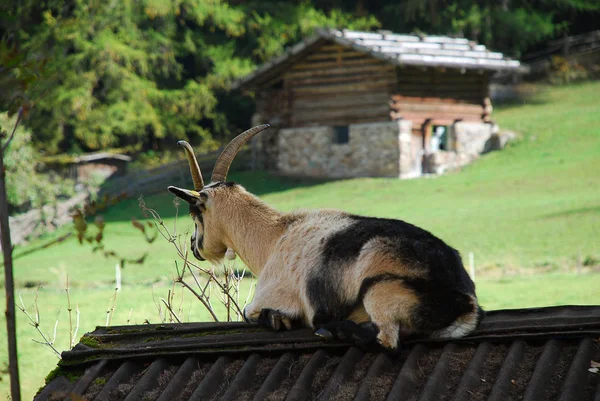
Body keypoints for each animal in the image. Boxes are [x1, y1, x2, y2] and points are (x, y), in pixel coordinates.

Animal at [169, 123, 482, 348]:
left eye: (195, 214)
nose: (195, 247)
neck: (276, 237)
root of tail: (465, 301)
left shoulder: (267, 297)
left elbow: (250, 313)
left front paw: (278, 320)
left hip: (380, 290)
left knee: (385, 339)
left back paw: (330, 331)